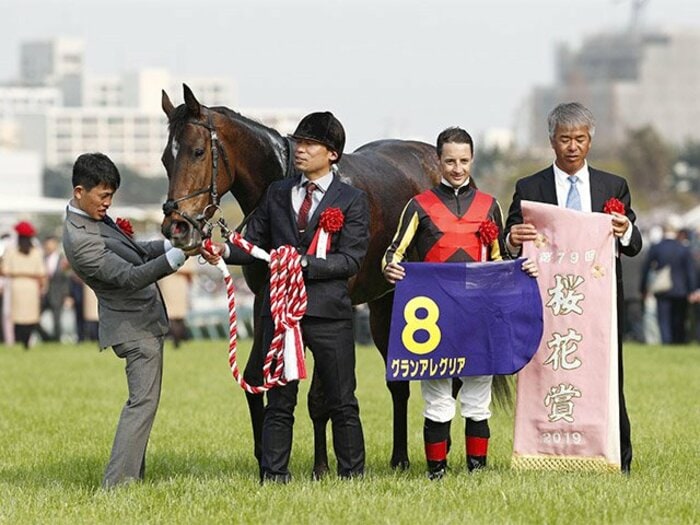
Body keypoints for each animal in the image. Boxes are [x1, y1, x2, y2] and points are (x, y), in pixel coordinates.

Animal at [161, 84, 440, 472]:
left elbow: (321, 395)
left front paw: (322, 467)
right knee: (397, 383)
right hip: (382, 301)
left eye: (198, 152)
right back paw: (400, 458)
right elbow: (255, 378)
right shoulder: (265, 300)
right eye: (164, 159)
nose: (176, 227)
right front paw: (266, 459)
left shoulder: (333, 311)